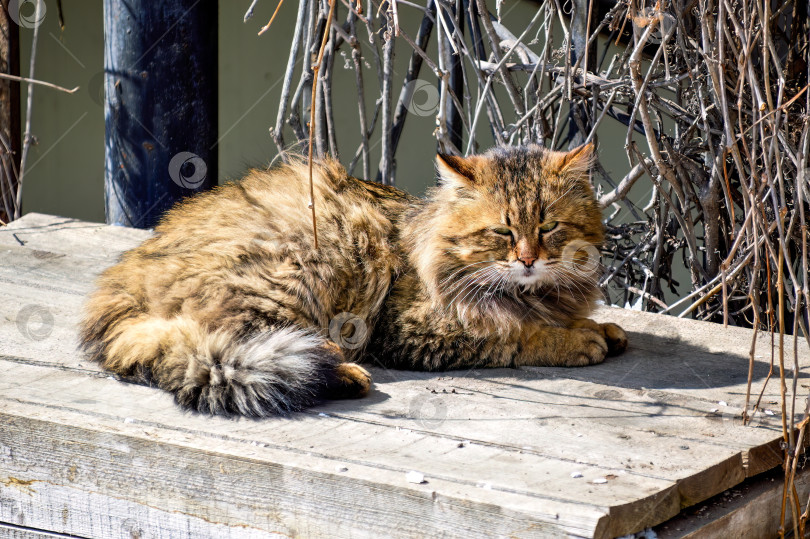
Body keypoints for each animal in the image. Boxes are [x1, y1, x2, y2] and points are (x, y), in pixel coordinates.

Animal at [80, 144, 624, 418]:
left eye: (549, 227)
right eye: (503, 232)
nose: (529, 259)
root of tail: (122, 278)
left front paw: (602, 328)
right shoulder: (409, 329)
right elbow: (511, 332)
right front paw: (574, 338)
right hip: (292, 271)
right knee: (239, 345)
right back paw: (343, 372)